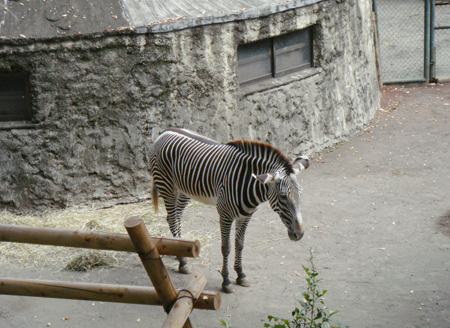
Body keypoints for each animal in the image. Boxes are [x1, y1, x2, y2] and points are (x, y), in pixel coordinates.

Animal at [149, 127, 310, 294]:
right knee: (172, 219)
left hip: (185, 190)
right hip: (167, 186)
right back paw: (182, 262)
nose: (299, 234)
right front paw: (226, 281)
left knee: (176, 216)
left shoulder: (246, 215)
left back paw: (179, 249)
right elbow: (226, 248)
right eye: (283, 196)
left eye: (300, 194)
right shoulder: (225, 214)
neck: (247, 182)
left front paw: (240, 274)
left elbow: (240, 244)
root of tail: (165, 132)